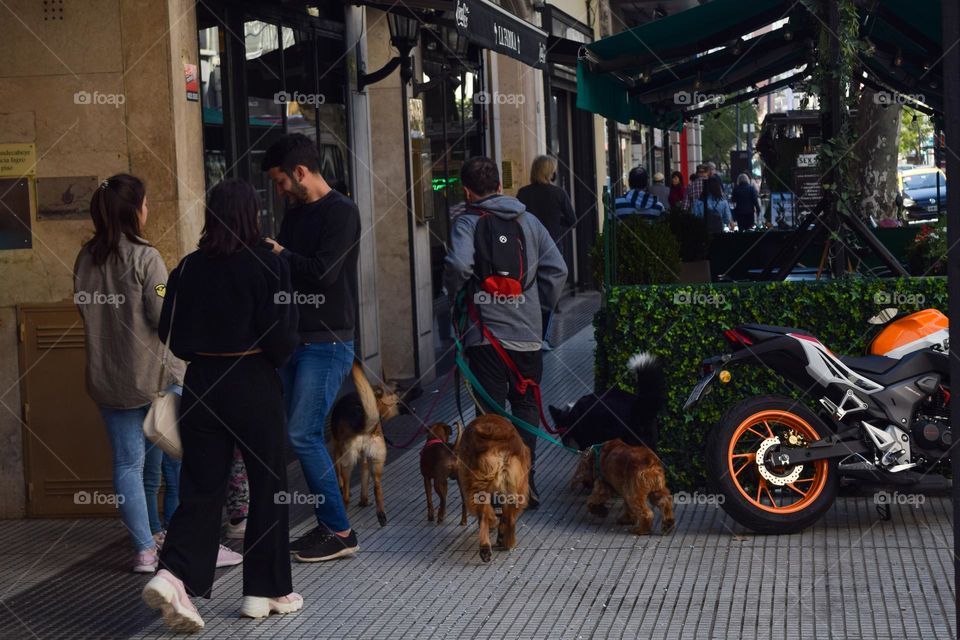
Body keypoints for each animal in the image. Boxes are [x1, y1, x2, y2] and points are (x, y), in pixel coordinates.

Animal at [330, 362, 404, 528]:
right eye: (397, 389)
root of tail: (362, 423)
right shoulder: (366, 458)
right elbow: (364, 479)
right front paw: (364, 500)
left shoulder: (335, 450)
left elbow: (338, 475)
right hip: (377, 462)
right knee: (377, 487)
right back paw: (381, 514)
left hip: (347, 463)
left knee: (346, 494)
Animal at [454, 416, 528, 560]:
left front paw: (493, 523)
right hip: (516, 487)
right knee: (510, 516)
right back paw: (506, 542)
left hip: (476, 485)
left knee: (483, 513)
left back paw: (487, 547)